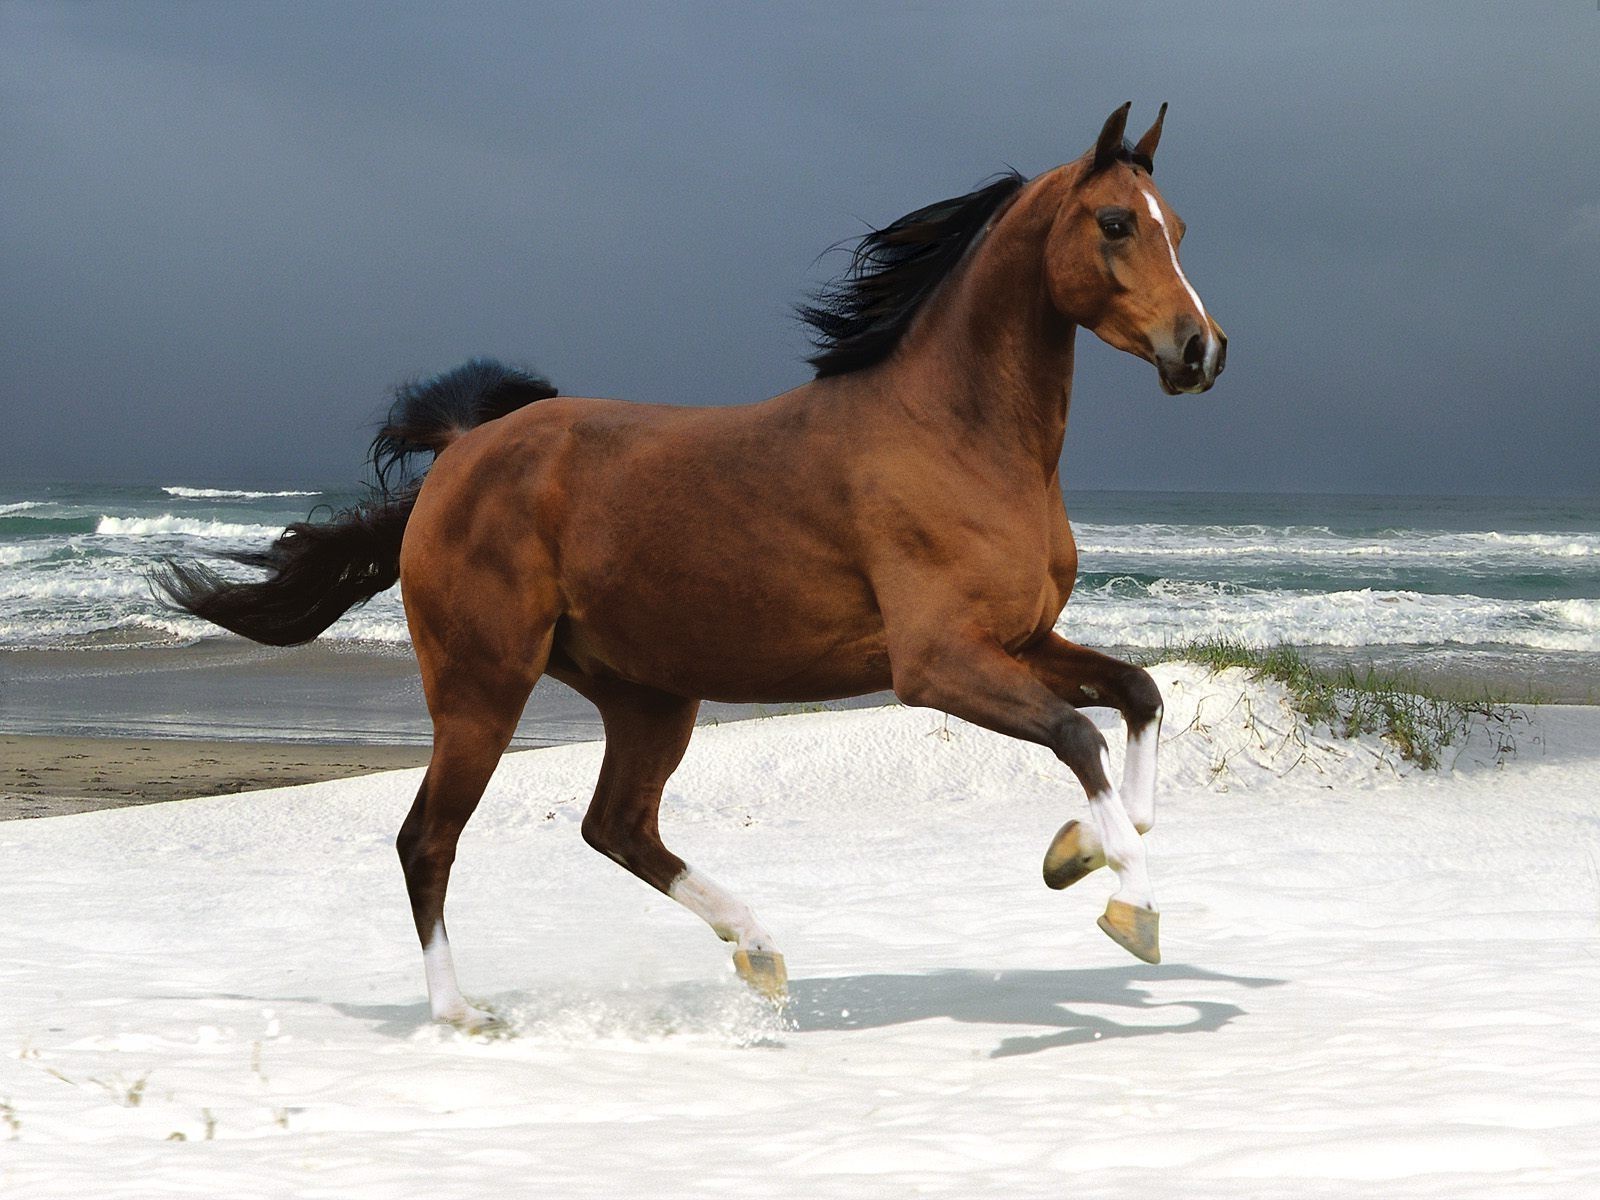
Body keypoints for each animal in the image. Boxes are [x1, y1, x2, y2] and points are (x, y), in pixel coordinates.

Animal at [156, 101, 1222, 1036]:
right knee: (430, 839)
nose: (1200, 350)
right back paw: (462, 1013)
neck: (957, 435)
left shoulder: (1021, 640)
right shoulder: (937, 665)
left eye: (1178, 227)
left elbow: (1138, 696)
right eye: (1116, 223)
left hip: (647, 695)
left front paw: (1081, 850)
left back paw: (759, 949)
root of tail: (464, 450)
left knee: (615, 827)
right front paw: (1129, 906)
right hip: (482, 686)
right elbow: (1078, 737)